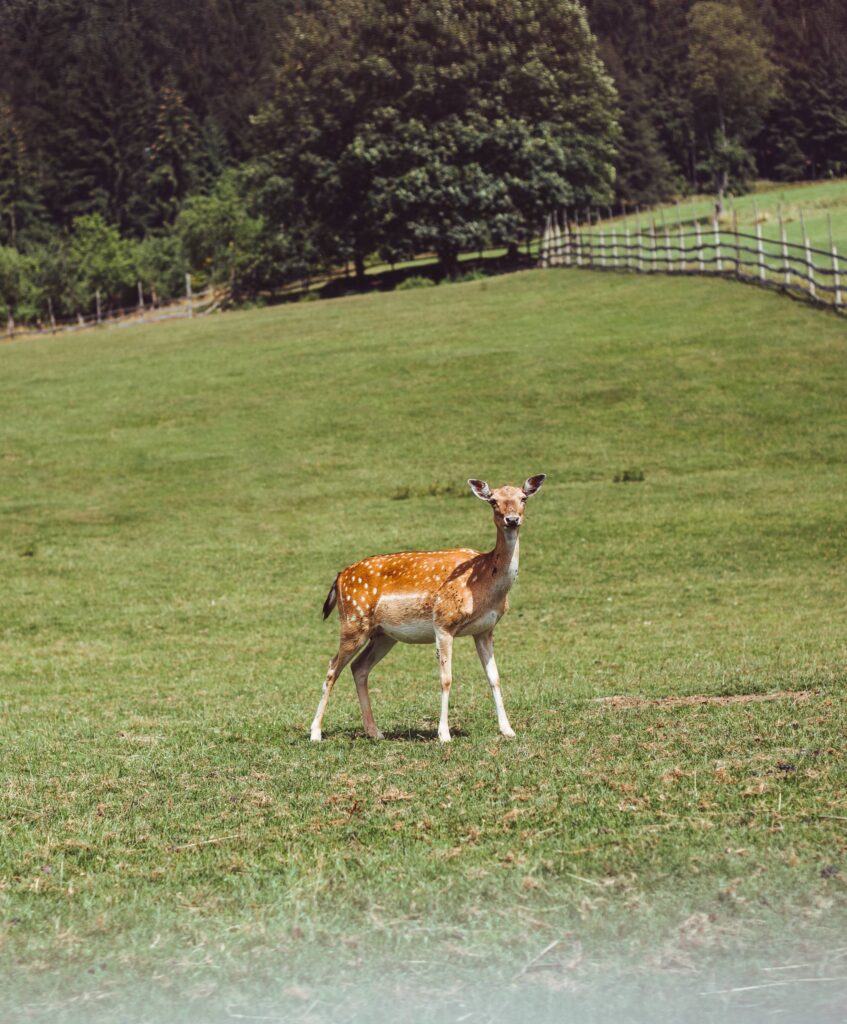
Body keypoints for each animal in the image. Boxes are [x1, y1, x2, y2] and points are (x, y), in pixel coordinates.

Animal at [311, 475, 548, 741]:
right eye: (493, 501)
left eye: (523, 498)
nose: (512, 519)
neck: (483, 579)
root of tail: (339, 577)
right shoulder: (443, 622)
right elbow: (446, 678)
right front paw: (444, 734)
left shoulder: (484, 630)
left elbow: (494, 678)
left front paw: (508, 730)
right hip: (353, 620)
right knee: (332, 667)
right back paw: (315, 733)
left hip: (383, 635)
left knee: (359, 667)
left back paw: (375, 732)